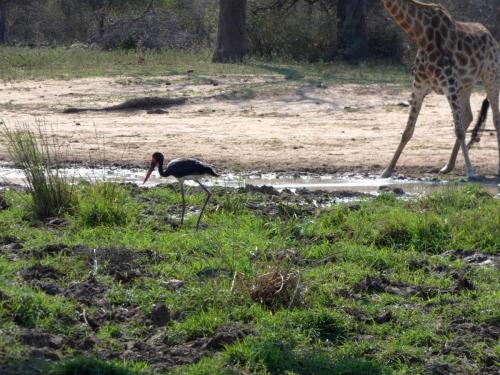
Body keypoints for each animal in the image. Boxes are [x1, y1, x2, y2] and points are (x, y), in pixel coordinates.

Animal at [380, 0, 498, 179]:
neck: (421, 36)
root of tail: (491, 36)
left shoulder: (449, 83)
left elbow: (459, 130)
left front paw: (470, 172)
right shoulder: (419, 86)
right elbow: (407, 131)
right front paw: (387, 170)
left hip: (490, 75)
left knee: (495, 118)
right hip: (466, 84)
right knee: (468, 116)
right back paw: (447, 166)